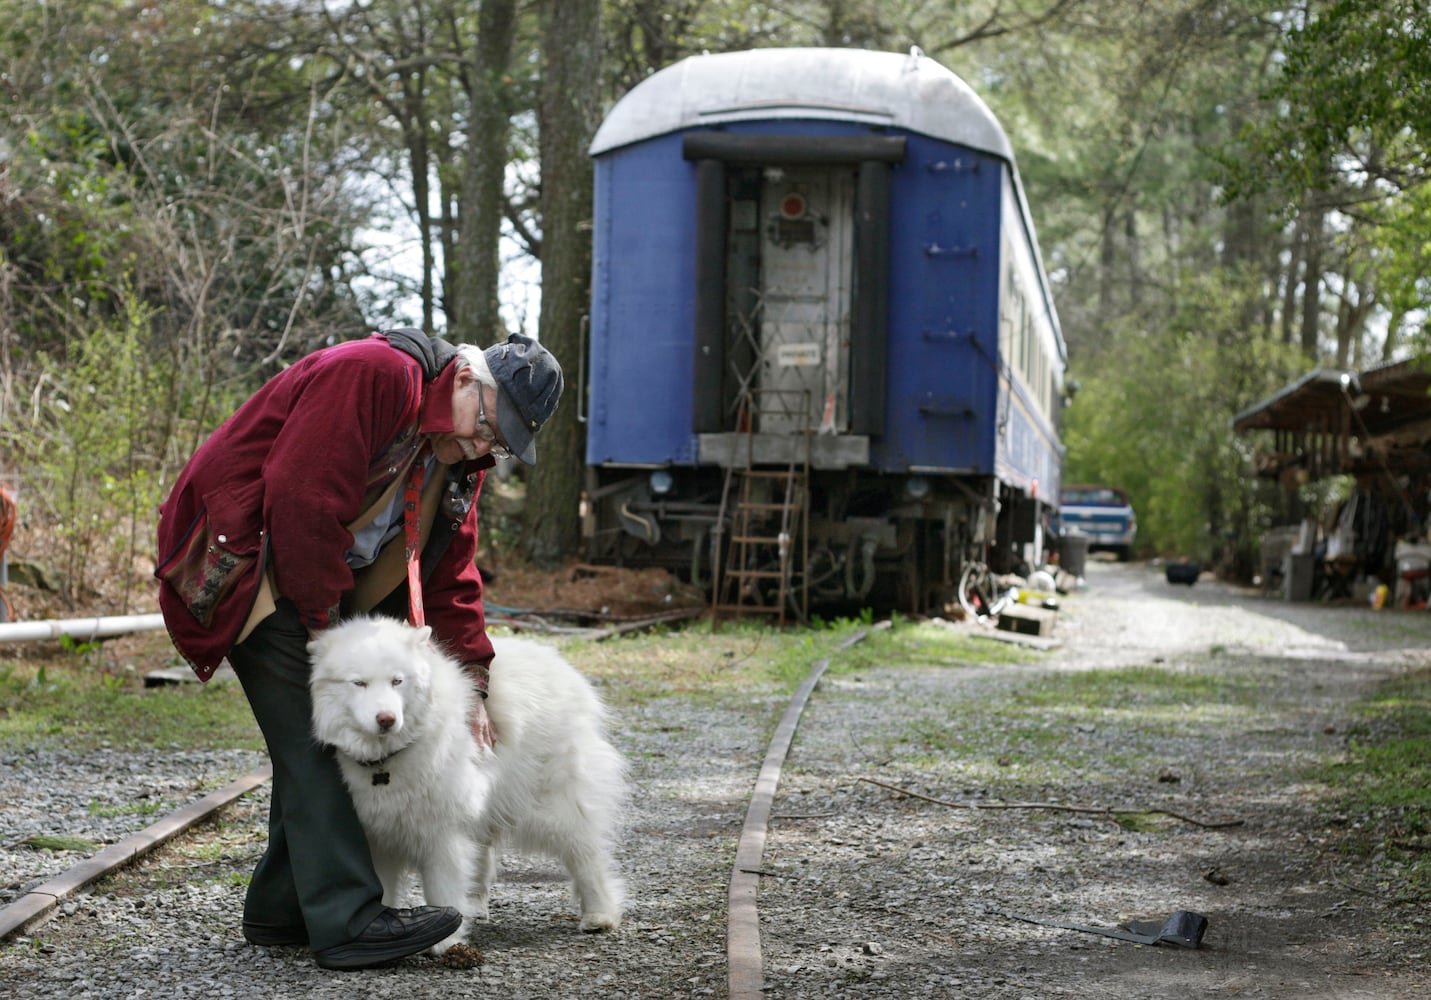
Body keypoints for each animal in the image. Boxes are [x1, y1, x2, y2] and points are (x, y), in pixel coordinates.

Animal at [307, 618, 626, 955]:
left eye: (397, 681)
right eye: (359, 683)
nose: (386, 719)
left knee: (586, 855)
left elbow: (443, 887)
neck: (388, 758)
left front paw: (446, 941)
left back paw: (600, 914)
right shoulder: (376, 834)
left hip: (555, 805)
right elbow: (382, 887)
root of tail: (559, 663)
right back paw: (475, 905)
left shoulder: (441, 831)